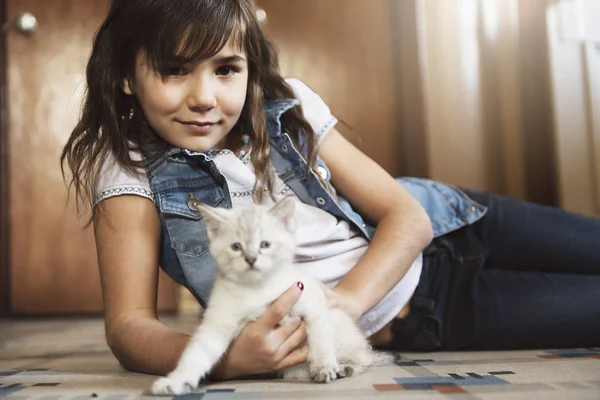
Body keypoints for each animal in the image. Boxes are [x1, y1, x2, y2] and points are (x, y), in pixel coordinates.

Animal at [152, 196, 392, 394]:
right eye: (236, 247)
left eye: (264, 244)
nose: (251, 259)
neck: (257, 289)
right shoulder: (217, 323)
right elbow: (195, 355)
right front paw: (176, 381)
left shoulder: (312, 301)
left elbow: (320, 340)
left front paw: (324, 366)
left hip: (340, 327)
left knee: (365, 358)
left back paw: (345, 368)